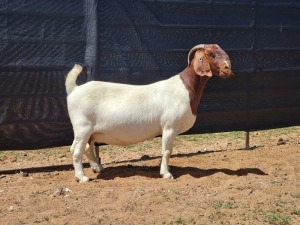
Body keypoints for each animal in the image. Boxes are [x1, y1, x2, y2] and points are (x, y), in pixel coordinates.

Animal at [65, 44, 234, 183]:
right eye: (211, 54)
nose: (228, 69)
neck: (185, 88)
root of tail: (74, 89)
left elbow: (168, 151)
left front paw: (167, 169)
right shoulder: (169, 127)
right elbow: (167, 151)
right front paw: (166, 173)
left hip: (91, 131)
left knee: (88, 148)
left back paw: (98, 168)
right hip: (82, 127)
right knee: (76, 150)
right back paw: (82, 177)